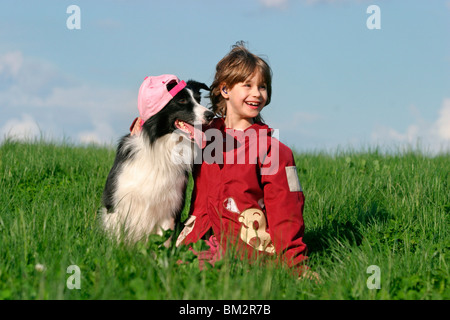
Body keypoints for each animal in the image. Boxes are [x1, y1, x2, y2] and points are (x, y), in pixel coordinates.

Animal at [101, 74, 214, 242]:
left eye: (198, 99)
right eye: (182, 100)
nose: (211, 115)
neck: (161, 145)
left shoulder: (169, 207)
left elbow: (163, 241)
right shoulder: (116, 202)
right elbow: (116, 239)